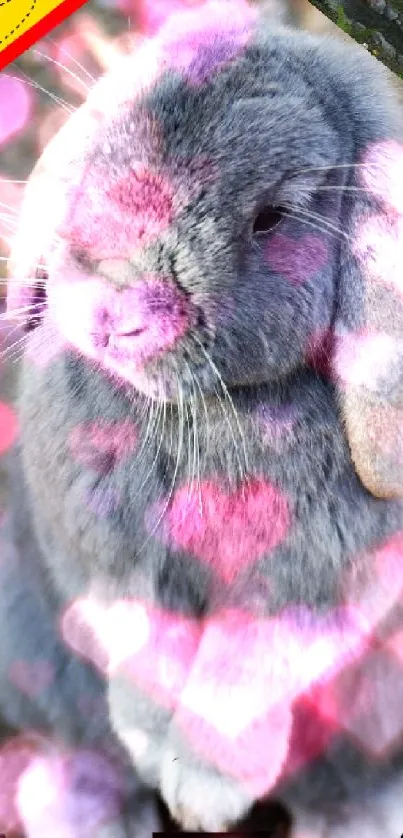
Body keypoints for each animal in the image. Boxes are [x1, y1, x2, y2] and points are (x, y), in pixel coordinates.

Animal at [3, 3, 403, 836]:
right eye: (108, 143)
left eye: (271, 218)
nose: (117, 314)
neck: (199, 412)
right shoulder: (108, 564)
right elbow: (146, 659)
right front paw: (159, 757)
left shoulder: (313, 587)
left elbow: (238, 677)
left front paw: (202, 793)